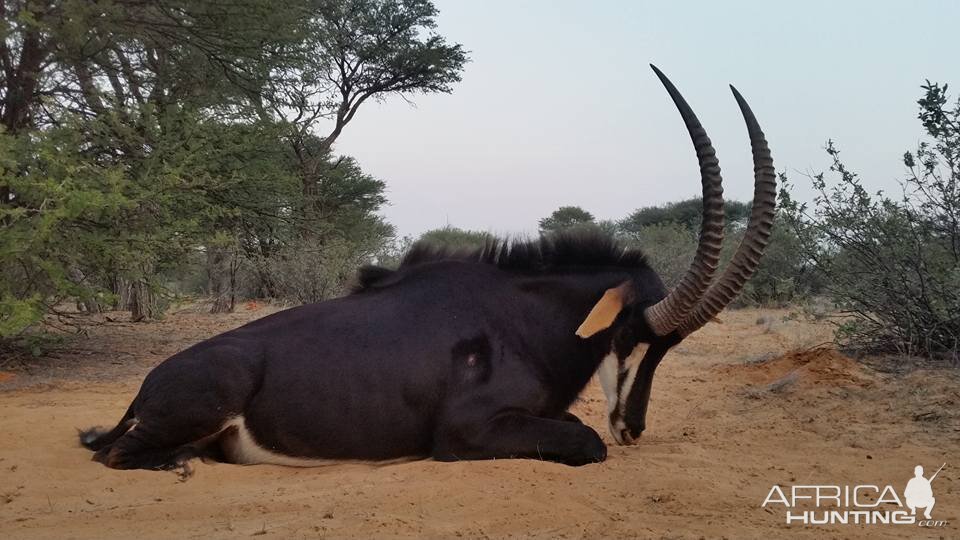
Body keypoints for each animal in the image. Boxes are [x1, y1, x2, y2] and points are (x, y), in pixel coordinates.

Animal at [79, 65, 776, 470]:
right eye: (630, 335)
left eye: (670, 347)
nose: (633, 429)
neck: (525, 320)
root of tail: (147, 385)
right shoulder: (464, 433)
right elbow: (585, 441)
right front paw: (604, 438)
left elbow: (578, 425)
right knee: (116, 457)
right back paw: (172, 463)